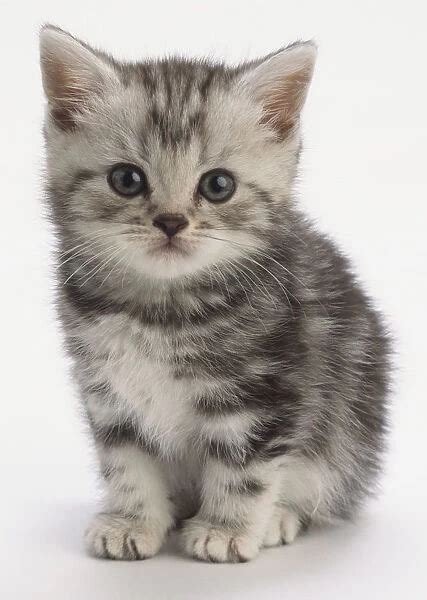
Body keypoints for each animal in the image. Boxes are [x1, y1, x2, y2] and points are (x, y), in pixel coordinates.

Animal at [39, 24, 392, 564]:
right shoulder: (108, 391)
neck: (162, 310)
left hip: (351, 428)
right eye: (126, 179)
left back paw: (278, 518)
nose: (170, 222)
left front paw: (226, 530)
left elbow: (245, 468)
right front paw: (131, 520)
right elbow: (126, 461)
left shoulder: (265, 392)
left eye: (218, 185)